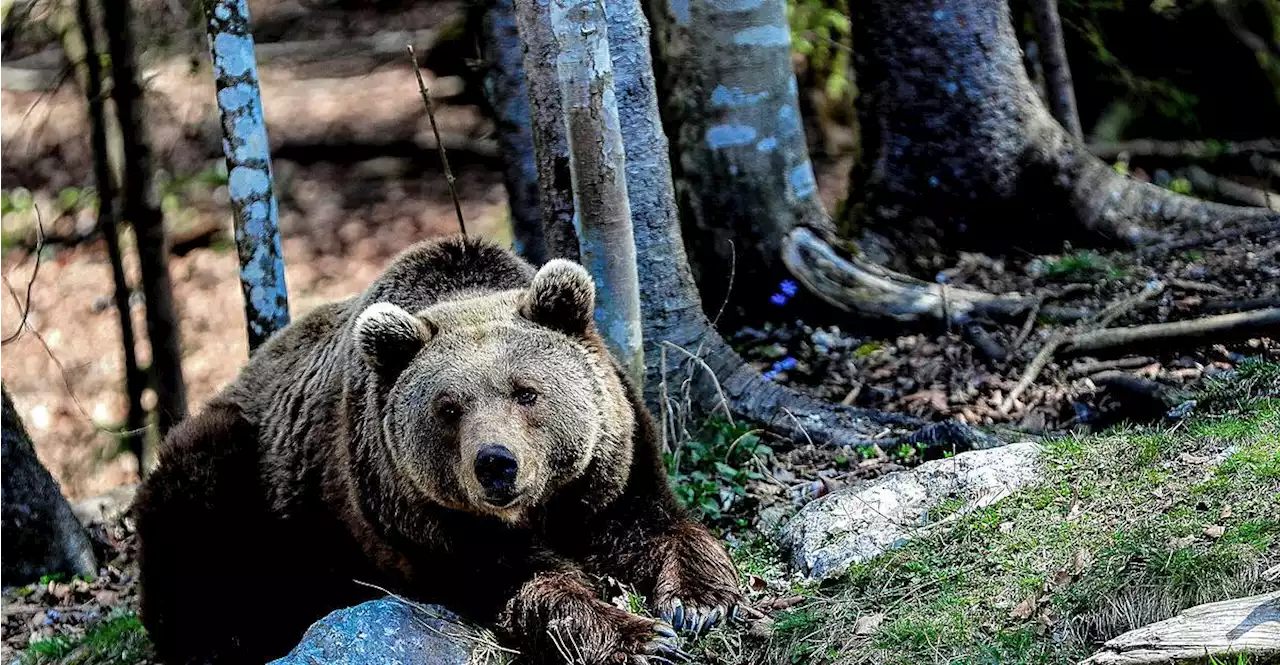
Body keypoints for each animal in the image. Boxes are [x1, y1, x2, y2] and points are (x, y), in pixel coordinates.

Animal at [132, 237, 742, 665]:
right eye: (448, 408)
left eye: (526, 391)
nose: (496, 463)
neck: (534, 512)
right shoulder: (416, 517)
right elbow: (523, 582)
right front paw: (640, 637)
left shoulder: (611, 462)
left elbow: (653, 523)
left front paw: (698, 603)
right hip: (247, 480)